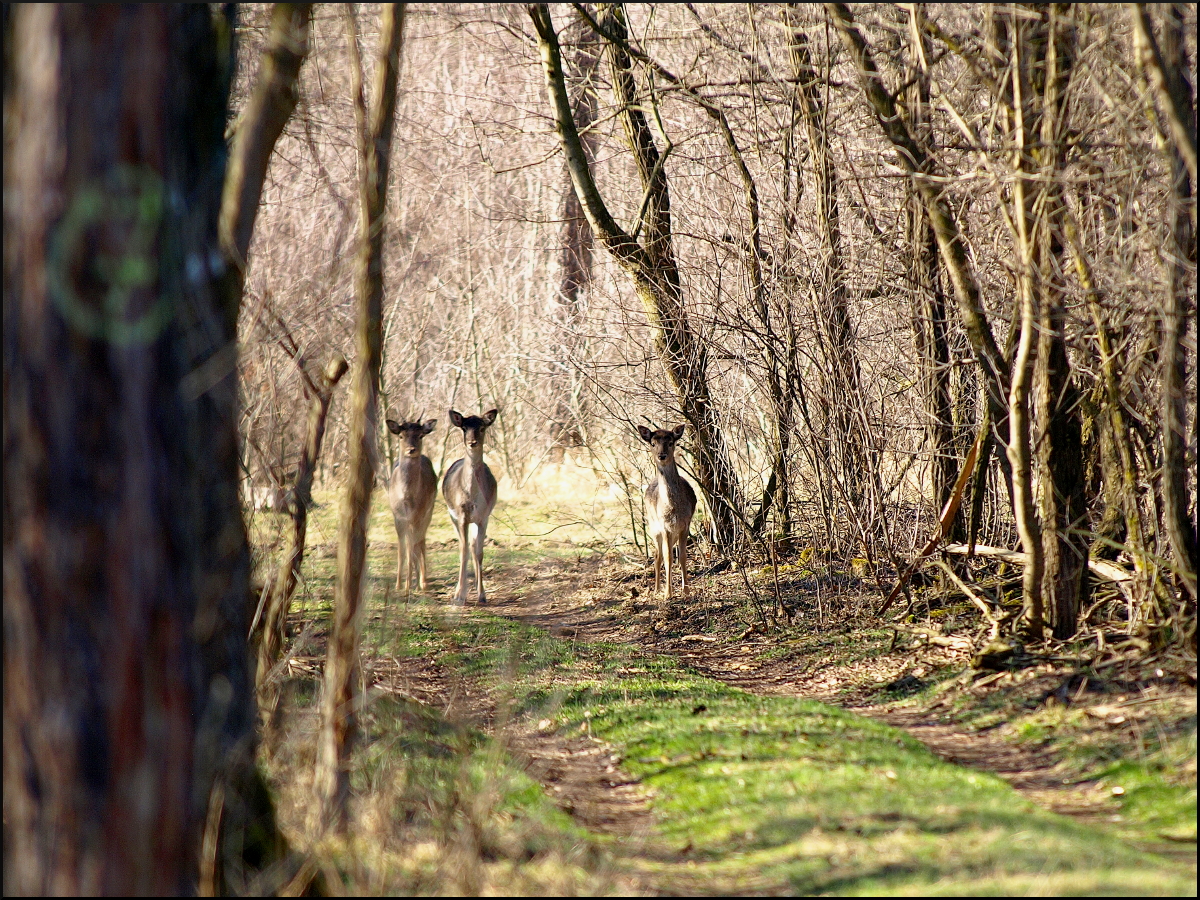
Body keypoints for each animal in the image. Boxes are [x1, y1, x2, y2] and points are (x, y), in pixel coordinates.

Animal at [384, 417, 436, 600]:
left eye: (420, 435)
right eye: (401, 436)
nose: (411, 450)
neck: (407, 497)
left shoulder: (418, 515)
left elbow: (412, 547)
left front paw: (409, 585)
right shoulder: (397, 516)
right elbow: (402, 548)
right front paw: (399, 584)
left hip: (429, 511)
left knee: (421, 541)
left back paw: (422, 582)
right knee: (413, 543)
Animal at [441, 408, 496, 607]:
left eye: (481, 427)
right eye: (464, 427)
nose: (472, 442)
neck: (471, 497)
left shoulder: (483, 516)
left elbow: (479, 552)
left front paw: (482, 595)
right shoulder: (461, 516)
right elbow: (463, 551)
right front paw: (459, 596)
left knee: (473, 546)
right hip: (452, 517)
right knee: (463, 547)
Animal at [633, 427, 700, 602]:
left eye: (670, 442)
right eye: (653, 443)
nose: (661, 456)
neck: (673, 508)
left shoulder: (685, 525)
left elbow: (682, 556)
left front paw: (686, 592)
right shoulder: (665, 528)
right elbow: (668, 557)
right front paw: (667, 594)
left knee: (661, 555)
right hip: (653, 527)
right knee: (657, 556)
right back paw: (656, 590)